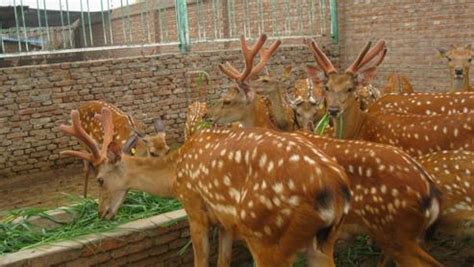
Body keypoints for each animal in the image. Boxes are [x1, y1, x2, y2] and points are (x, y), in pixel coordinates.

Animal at [59, 105, 352, 266]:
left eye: (100, 179)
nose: (102, 213)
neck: (175, 173)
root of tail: (335, 189)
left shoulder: (194, 209)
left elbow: (200, 261)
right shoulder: (225, 222)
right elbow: (223, 261)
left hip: (266, 235)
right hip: (324, 241)